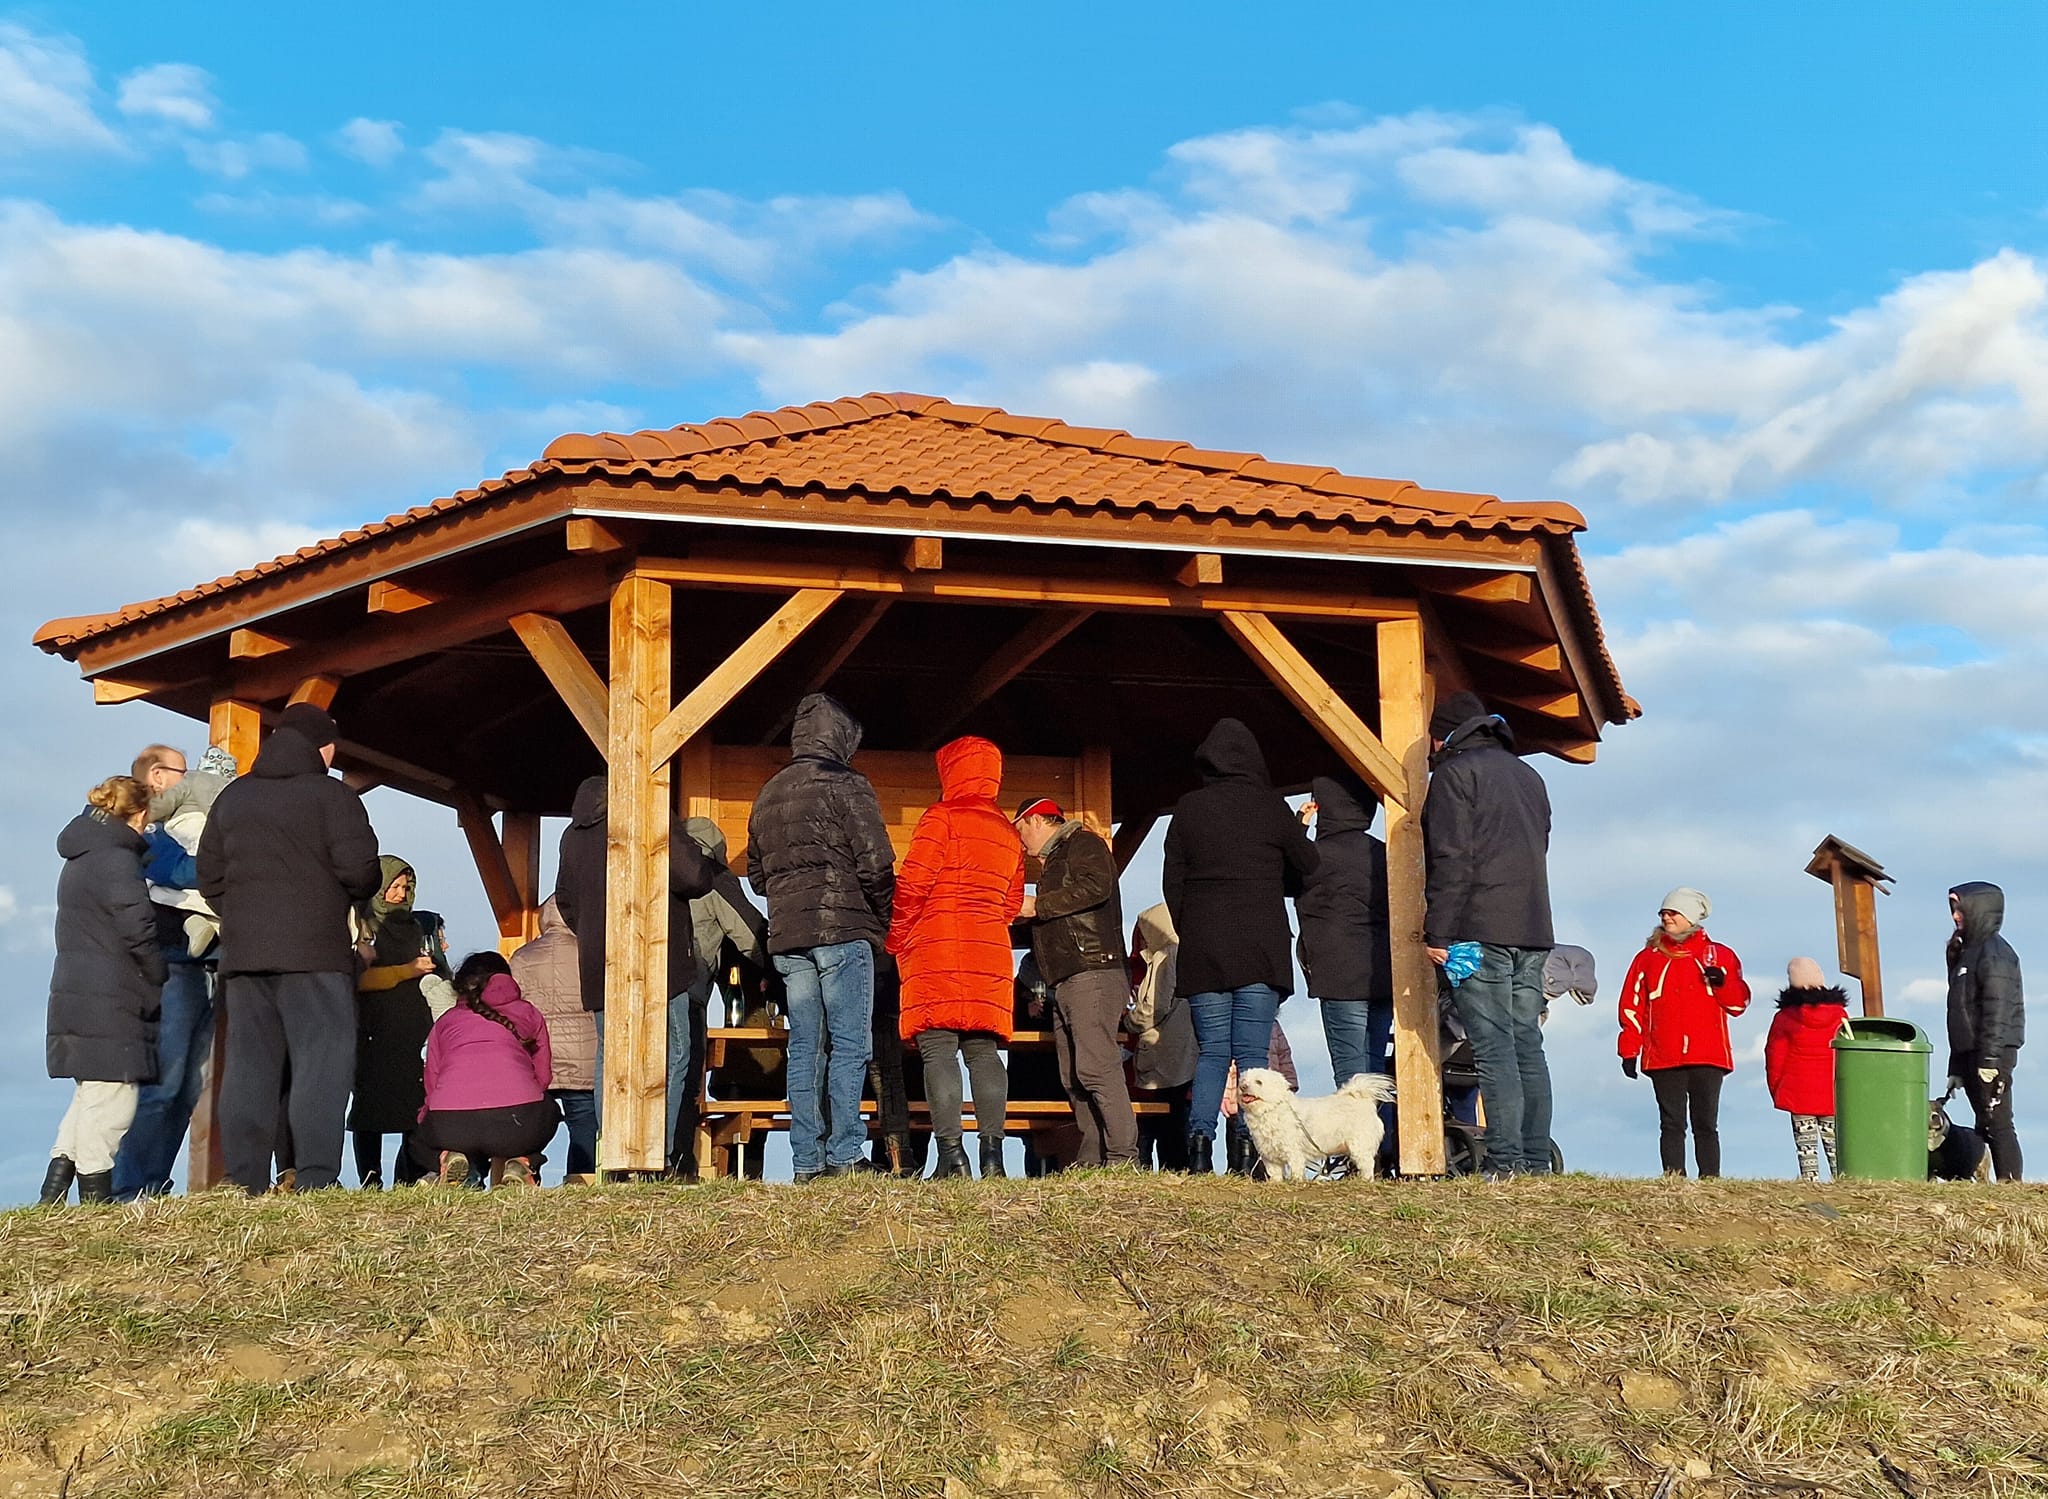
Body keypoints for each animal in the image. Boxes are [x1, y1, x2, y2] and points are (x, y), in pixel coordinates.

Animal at [1228, 1064, 1392, 1179]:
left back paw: (1366, 1180)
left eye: (1259, 1082)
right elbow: (1275, 1175)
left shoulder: (1293, 1152)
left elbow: (1295, 1170)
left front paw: (1296, 1182)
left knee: (1368, 1164)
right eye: (1243, 1081)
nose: (1243, 1087)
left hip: (1359, 1145)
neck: (1270, 1110)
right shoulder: (1270, 1157)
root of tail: (1364, 1100)